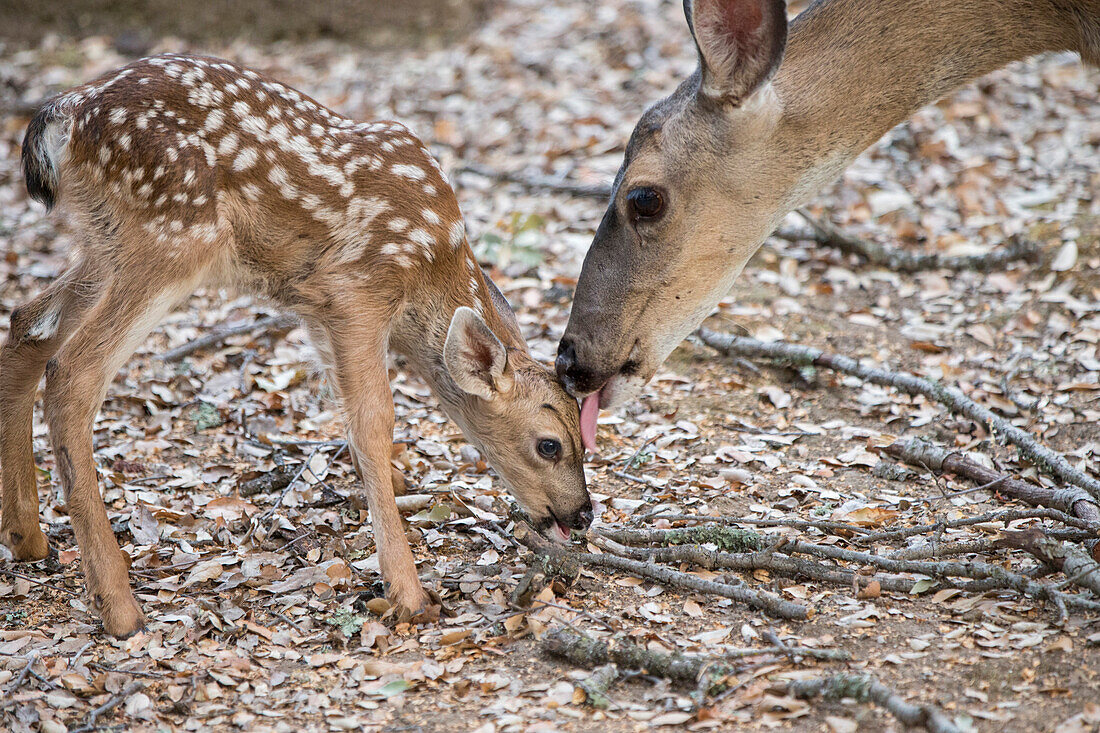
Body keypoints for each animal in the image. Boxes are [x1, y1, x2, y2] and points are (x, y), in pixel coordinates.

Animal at [4, 54, 594, 638]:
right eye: (549, 445)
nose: (583, 514)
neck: (431, 266)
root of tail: (65, 113)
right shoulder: (358, 289)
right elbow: (373, 420)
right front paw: (408, 594)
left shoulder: (316, 309)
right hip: (171, 234)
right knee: (73, 373)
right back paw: (119, 607)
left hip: (106, 242)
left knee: (28, 323)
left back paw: (26, 536)